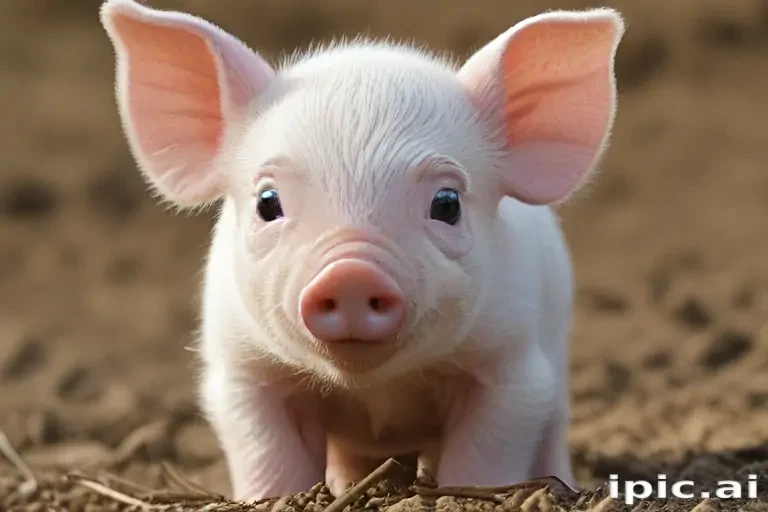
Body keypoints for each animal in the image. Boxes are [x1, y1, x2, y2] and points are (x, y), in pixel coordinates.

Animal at [100, 0, 625, 501]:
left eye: (447, 203)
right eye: (268, 202)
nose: (350, 273)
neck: (377, 387)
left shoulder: (511, 367)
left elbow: (485, 455)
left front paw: (470, 492)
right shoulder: (242, 372)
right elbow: (269, 455)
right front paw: (276, 496)